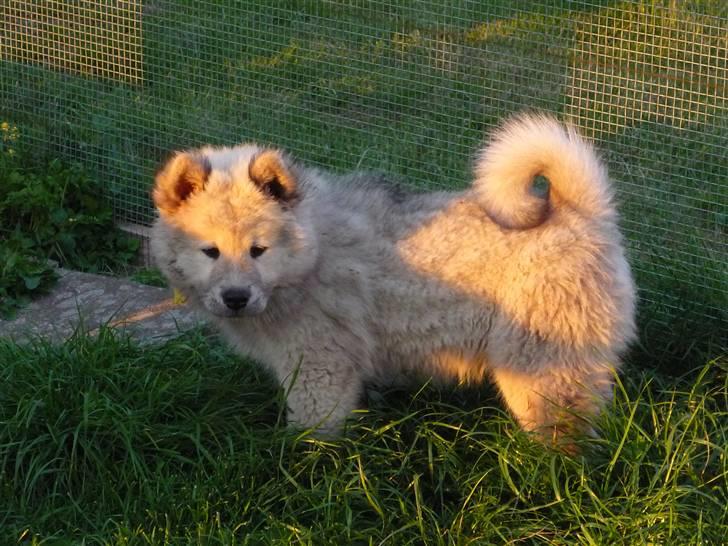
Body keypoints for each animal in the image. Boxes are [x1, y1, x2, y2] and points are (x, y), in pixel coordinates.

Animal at [151, 112, 636, 444]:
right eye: (210, 251)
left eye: (258, 250)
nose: (236, 297)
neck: (310, 250)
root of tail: (580, 213)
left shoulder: (319, 363)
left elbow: (313, 428)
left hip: (539, 366)